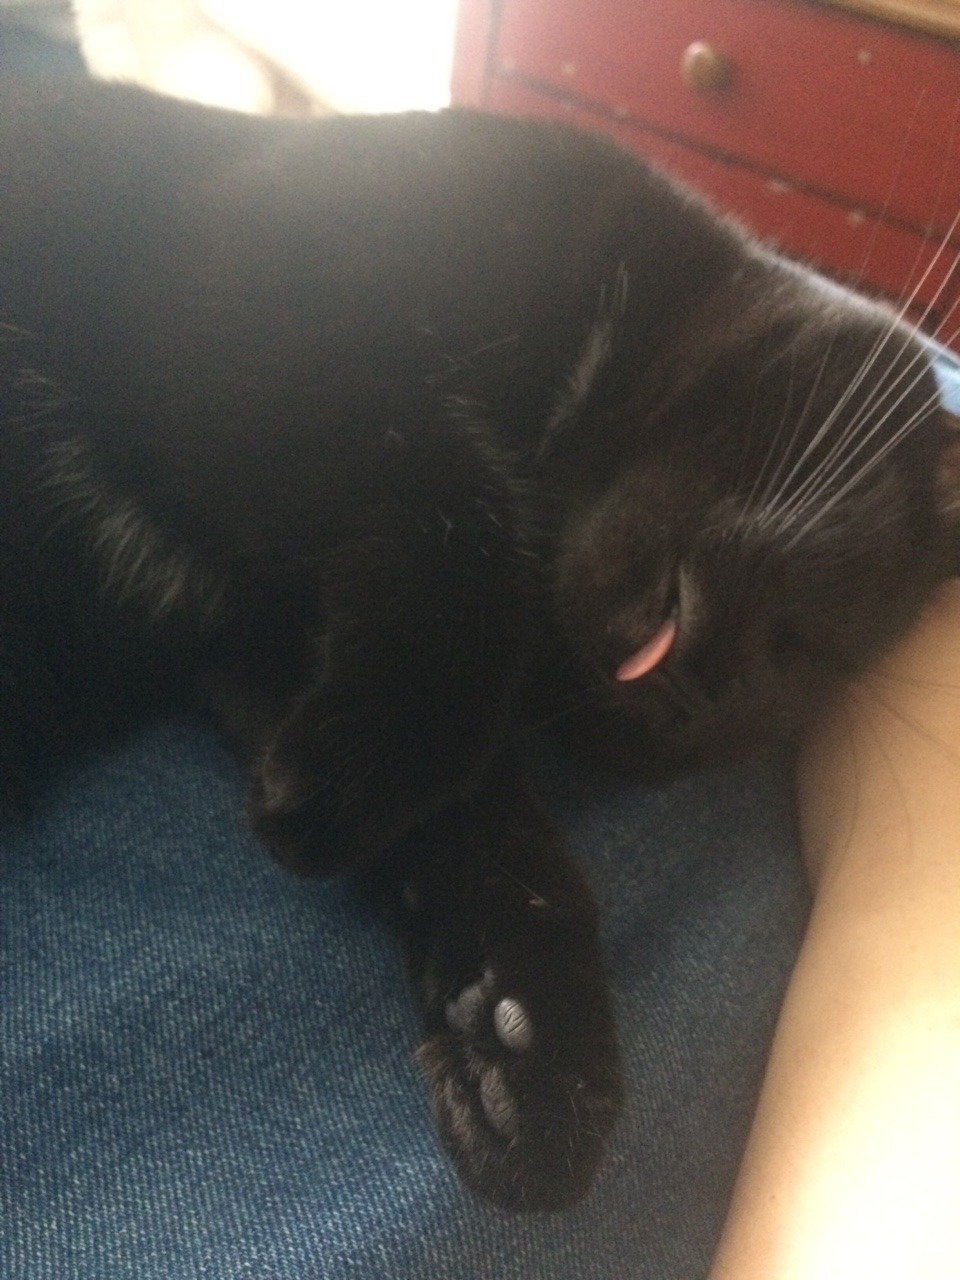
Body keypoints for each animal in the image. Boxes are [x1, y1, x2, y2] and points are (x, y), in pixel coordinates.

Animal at [1, 78, 958, 1212]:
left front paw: (526, 1040)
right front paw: (358, 779)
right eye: (811, 641)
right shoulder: (253, 281)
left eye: (775, 693)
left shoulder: (259, 634)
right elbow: (456, 508)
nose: (702, 698)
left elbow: (480, 813)